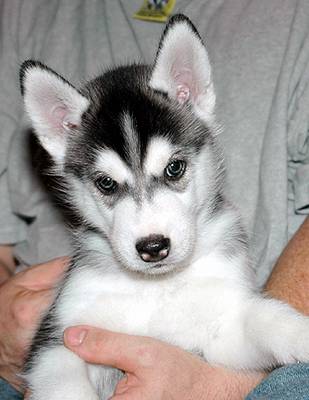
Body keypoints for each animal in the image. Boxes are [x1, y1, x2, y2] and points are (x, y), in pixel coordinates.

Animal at [19, 13, 308, 400]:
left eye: (175, 168)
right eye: (106, 183)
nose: (153, 247)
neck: (154, 287)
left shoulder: (220, 331)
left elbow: (264, 318)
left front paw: (301, 334)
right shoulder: (58, 340)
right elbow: (66, 387)